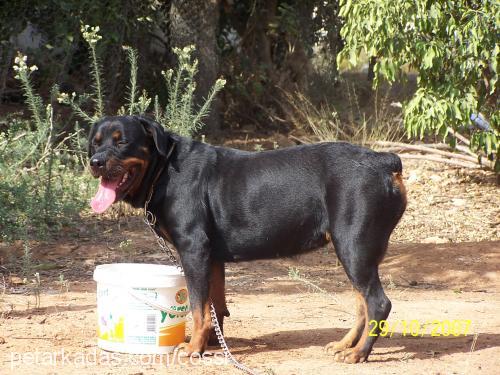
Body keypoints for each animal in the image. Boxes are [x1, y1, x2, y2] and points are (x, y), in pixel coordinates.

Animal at [87, 115, 406, 364]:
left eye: (122, 141)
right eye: (96, 142)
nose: (95, 162)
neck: (162, 172)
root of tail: (385, 161)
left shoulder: (194, 250)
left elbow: (198, 308)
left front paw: (193, 349)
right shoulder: (212, 257)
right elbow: (214, 306)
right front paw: (212, 344)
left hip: (354, 246)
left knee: (377, 303)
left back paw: (359, 353)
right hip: (355, 251)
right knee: (362, 304)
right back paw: (345, 345)